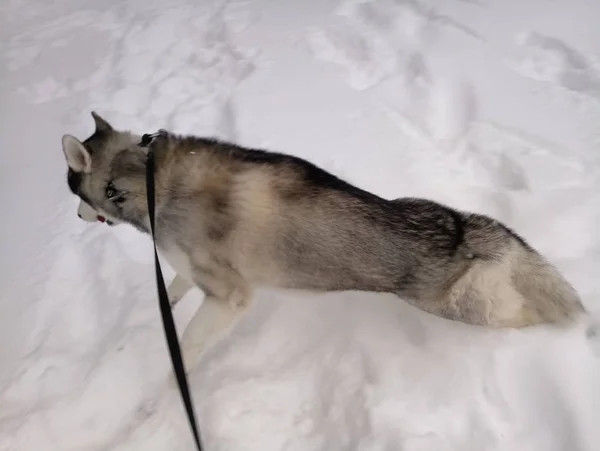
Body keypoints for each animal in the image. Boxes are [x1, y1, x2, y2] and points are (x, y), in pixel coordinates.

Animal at [59, 114, 584, 374]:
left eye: (73, 193)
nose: (76, 216)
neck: (148, 177)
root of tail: (465, 226)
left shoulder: (230, 296)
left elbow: (187, 346)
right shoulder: (192, 267)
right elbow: (174, 286)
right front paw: (163, 306)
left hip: (464, 308)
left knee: (525, 314)